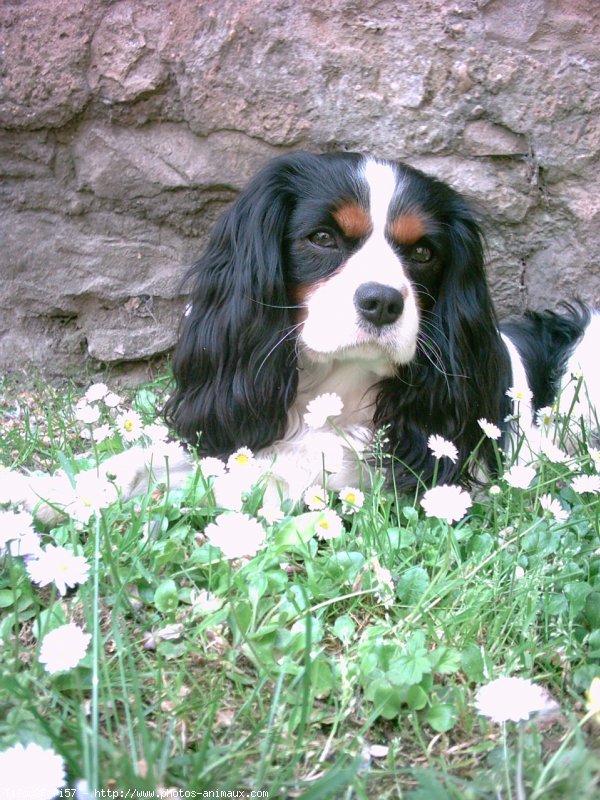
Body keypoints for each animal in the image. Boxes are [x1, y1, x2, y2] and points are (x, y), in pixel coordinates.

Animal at [5, 152, 600, 524]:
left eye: (423, 252)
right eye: (322, 238)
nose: (383, 300)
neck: (329, 388)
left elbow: (244, 480)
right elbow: (139, 460)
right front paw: (48, 490)